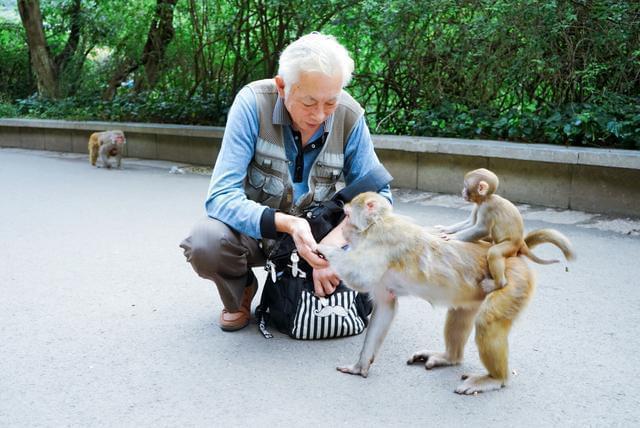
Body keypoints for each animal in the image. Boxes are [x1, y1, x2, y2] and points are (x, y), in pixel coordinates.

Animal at [318, 193, 576, 394]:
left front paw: (323, 249)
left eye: (347, 216)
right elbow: (385, 306)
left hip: (514, 283)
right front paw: (360, 366)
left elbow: (359, 276)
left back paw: (494, 379)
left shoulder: (382, 239)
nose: (342, 228)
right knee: (460, 314)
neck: (375, 225)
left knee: (488, 321)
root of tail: (515, 254)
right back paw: (449, 357)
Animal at [440, 169, 568, 292]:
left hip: (510, 247)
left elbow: (481, 229)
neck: (486, 198)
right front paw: (447, 229)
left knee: (494, 252)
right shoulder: (478, 205)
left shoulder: (487, 207)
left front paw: (453, 237)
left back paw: (498, 284)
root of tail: (521, 243)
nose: (462, 191)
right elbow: (470, 223)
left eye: (466, 185)